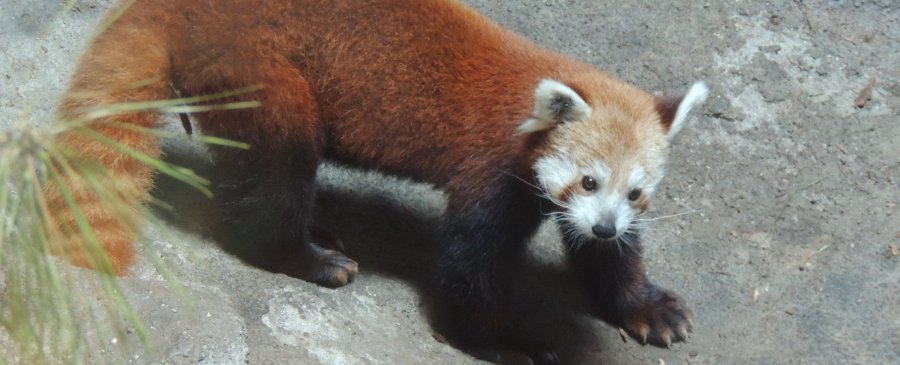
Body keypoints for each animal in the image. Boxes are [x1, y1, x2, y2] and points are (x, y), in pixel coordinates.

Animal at [45, 0, 712, 362]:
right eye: (587, 181)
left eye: (634, 192)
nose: (604, 226)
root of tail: (178, 9)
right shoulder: (488, 169)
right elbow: (468, 268)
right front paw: (507, 341)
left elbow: (607, 261)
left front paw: (645, 306)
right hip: (261, 72)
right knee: (277, 167)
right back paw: (308, 257)